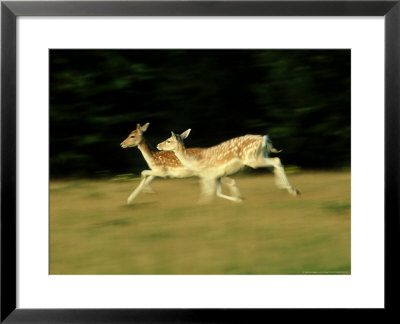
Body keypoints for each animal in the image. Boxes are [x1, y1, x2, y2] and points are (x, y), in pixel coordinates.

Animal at [157, 129, 300, 202]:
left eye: (168, 140)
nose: (158, 145)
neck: (195, 162)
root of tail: (265, 139)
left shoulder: (208, 175)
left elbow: (208, 193)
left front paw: (202, 205)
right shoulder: (217, 176)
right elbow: (218, 193)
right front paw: (239, 198)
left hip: (252, 158)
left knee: (276, 161)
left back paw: (292, 190)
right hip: (261, 156)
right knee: (274, 164)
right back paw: (286, 188)